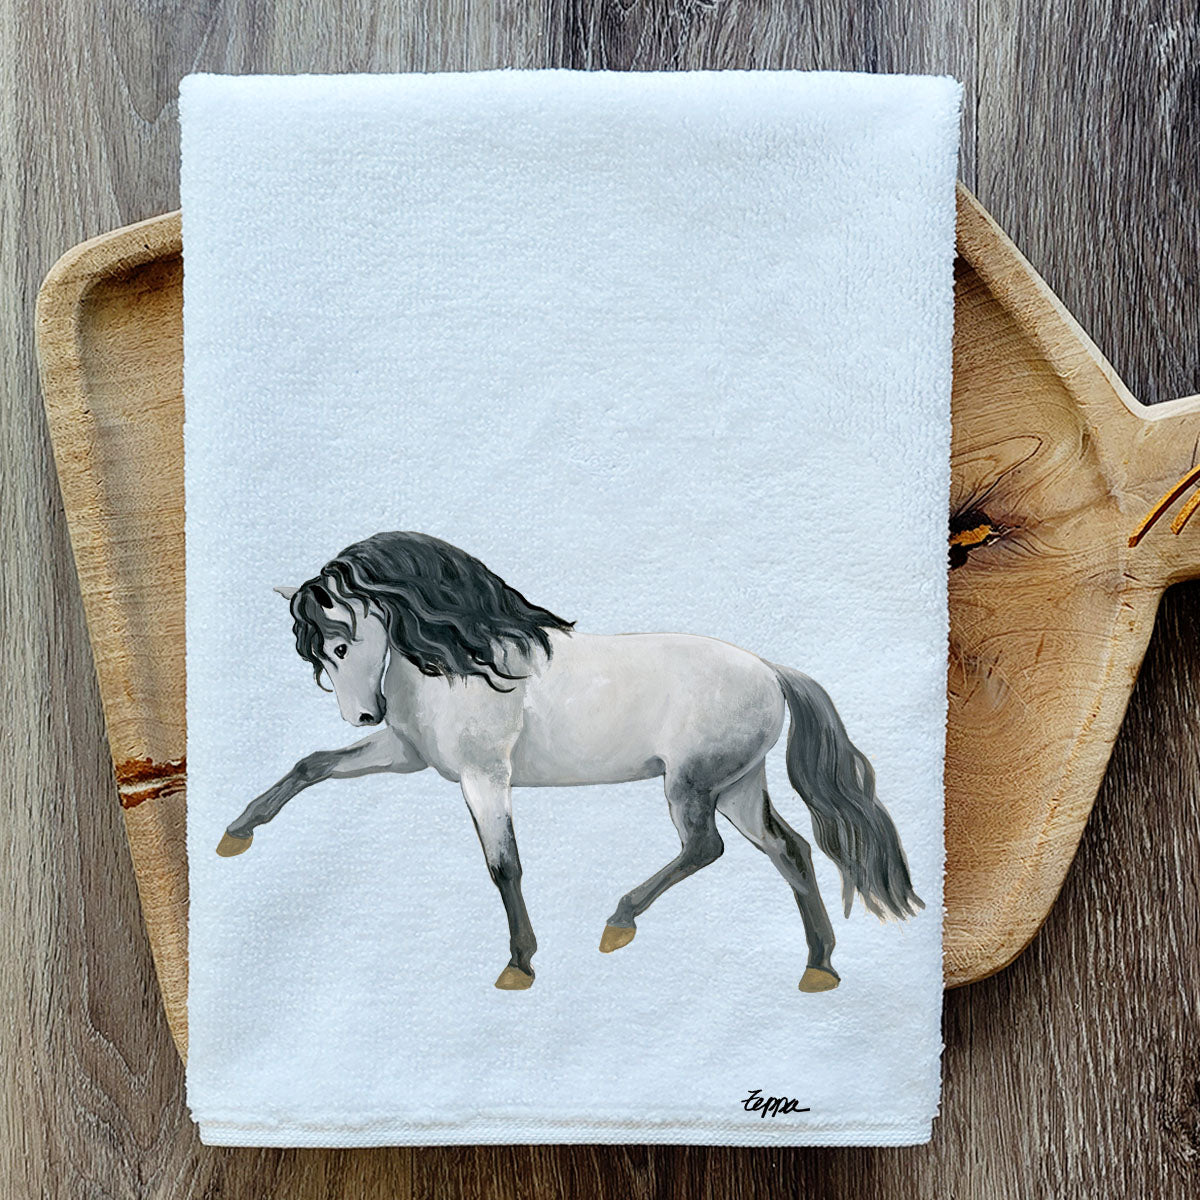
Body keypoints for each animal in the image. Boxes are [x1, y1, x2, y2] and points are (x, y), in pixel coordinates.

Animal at [216, 531, 923, 993]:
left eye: (340, 643)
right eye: (314, 656)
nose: (364, 714)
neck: (462, 663)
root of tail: (772, 671)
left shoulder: (484, 777)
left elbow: (503, 867)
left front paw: (519, 966)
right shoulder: (407, 754)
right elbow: (310, 765)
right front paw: (236, 834)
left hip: (692, 784)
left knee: (707, 848)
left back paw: (619, 922)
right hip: (740, 785)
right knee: (790, 850)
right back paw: (819, 968)